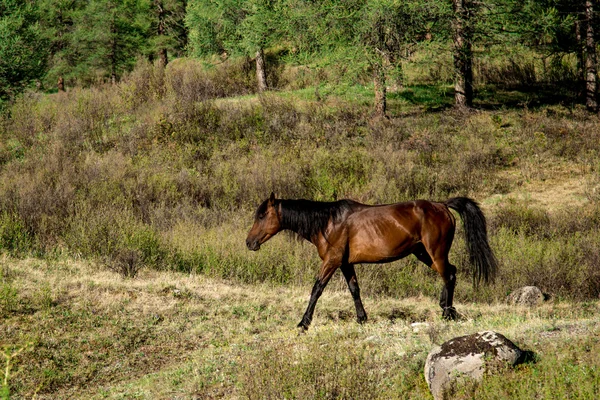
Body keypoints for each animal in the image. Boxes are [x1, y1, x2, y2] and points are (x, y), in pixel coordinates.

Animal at [244, 192, 496, 330]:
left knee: (448, 275)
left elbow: (317, 289)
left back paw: (447, 313)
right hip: (423, 253)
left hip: (436, 252)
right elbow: (354, 289)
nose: (249, 242)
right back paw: (445, 307)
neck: (329, 222)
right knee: (450, 272)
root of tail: (442, 205)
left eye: (262, 215)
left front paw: (304, 322)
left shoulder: (331, 261)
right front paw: (362, 318)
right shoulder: (345, 264)